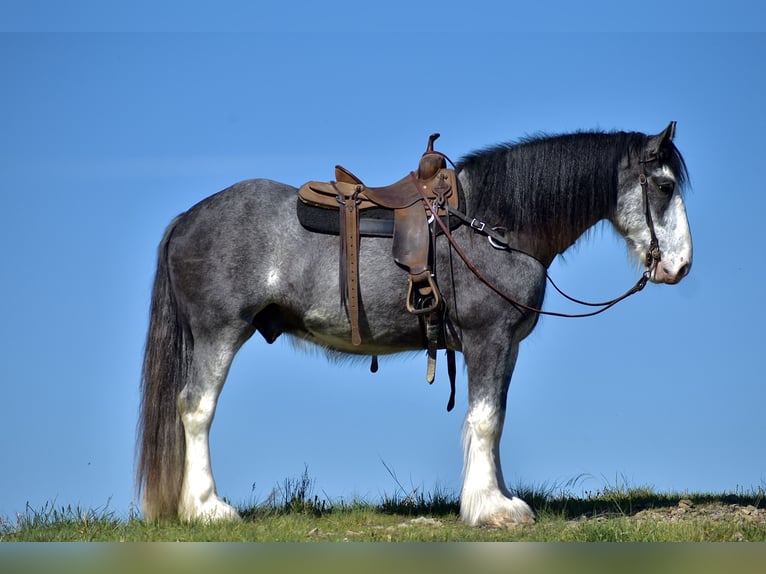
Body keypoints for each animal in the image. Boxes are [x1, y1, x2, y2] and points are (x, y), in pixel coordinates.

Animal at [138, 124, 696, 528]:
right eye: (664, 186)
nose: (681, 266)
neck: (493, 225)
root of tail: (187, 218)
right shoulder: (488, 340)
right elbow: (485, 420)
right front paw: (490, 509)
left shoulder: (504, 347)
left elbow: (494, 419)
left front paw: (497, 497)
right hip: (219, 333)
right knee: (196, 410)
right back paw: (208, 509)